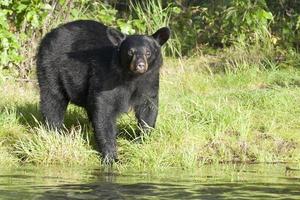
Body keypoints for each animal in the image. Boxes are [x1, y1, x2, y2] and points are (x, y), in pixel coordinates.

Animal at [36, 19, 170, 164]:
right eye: (130, 52)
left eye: (148, 52)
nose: (139, 65)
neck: (131, 77)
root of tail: (49, 34)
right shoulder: (106, 78)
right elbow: (105, 111)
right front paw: (111, 156)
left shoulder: (149, 81)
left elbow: (148, 108)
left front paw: (141, 141)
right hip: (51, 67)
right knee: (53, 100)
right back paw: (55, 131)